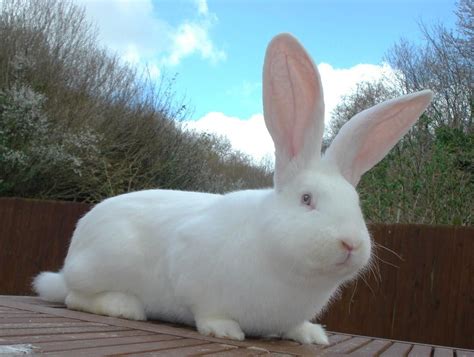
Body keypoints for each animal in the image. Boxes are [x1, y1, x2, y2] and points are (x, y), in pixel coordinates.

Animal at [34, 33, 434, 342]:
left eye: (356, 203)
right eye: (307, 199)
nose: (350, 244)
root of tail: (73, 252)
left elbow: (294, 327)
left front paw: (310, 335)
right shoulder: (192, 270)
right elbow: (208, 310)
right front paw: (225, 331)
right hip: (102, 262)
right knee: (74, 297)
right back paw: (125, 307)